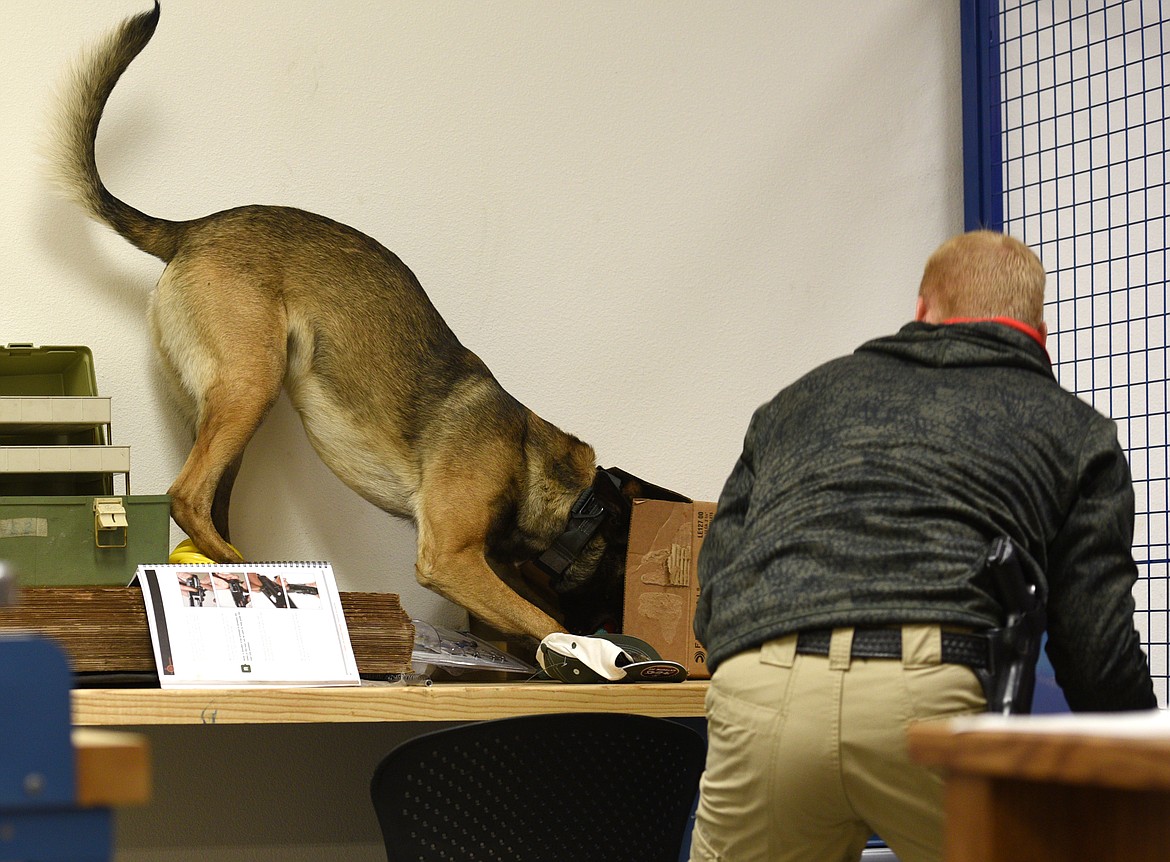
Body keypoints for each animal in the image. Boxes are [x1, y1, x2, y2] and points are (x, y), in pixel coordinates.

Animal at [50, 3, 641, 640]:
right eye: (624, 572)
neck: (549, 477)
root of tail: (192, 228)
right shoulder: (450, 557)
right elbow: (543, 619)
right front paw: (590, 651)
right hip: (253, 384)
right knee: (186, 495)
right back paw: (247, 566)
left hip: (225, 409)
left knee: (205, 502)